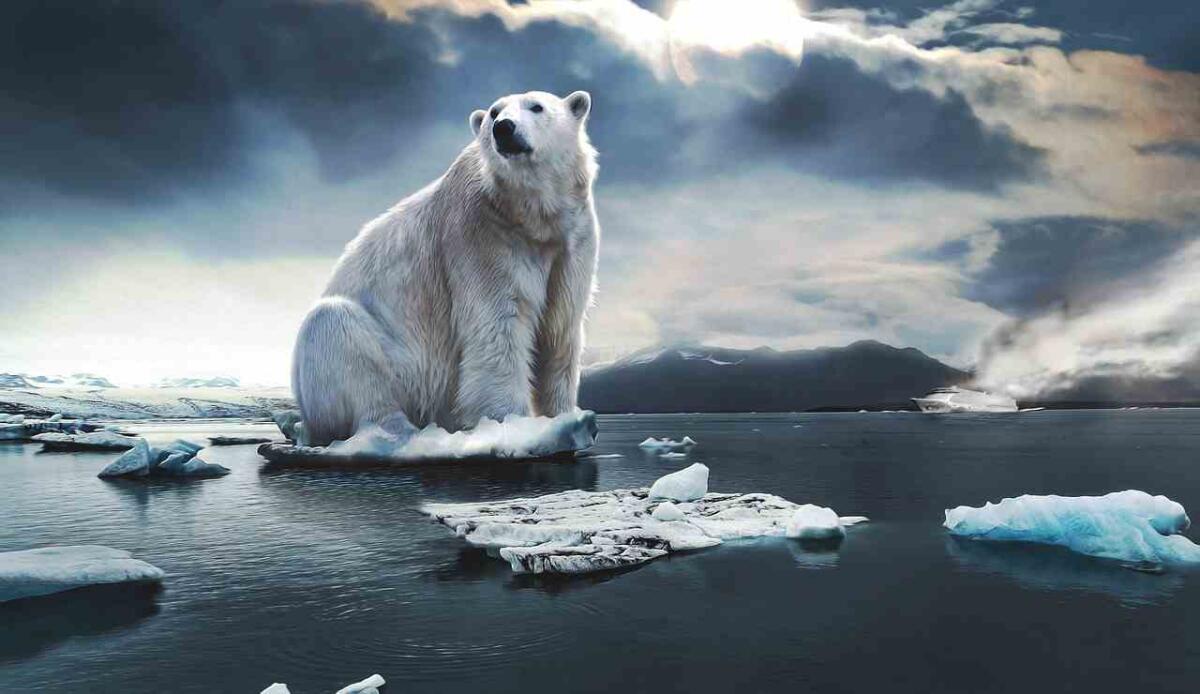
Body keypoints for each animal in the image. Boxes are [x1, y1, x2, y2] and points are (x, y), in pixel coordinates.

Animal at [291, 90, 599, 446]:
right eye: (494, 112)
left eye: (536, 106)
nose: (504, 128)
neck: (531, 216)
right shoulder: (482, 234)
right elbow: (497, 327)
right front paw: (509, 424)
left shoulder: (572, 241)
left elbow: (560, 328)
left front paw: (563, 417)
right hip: (400, 366)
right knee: (335, 330)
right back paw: (396, 429)